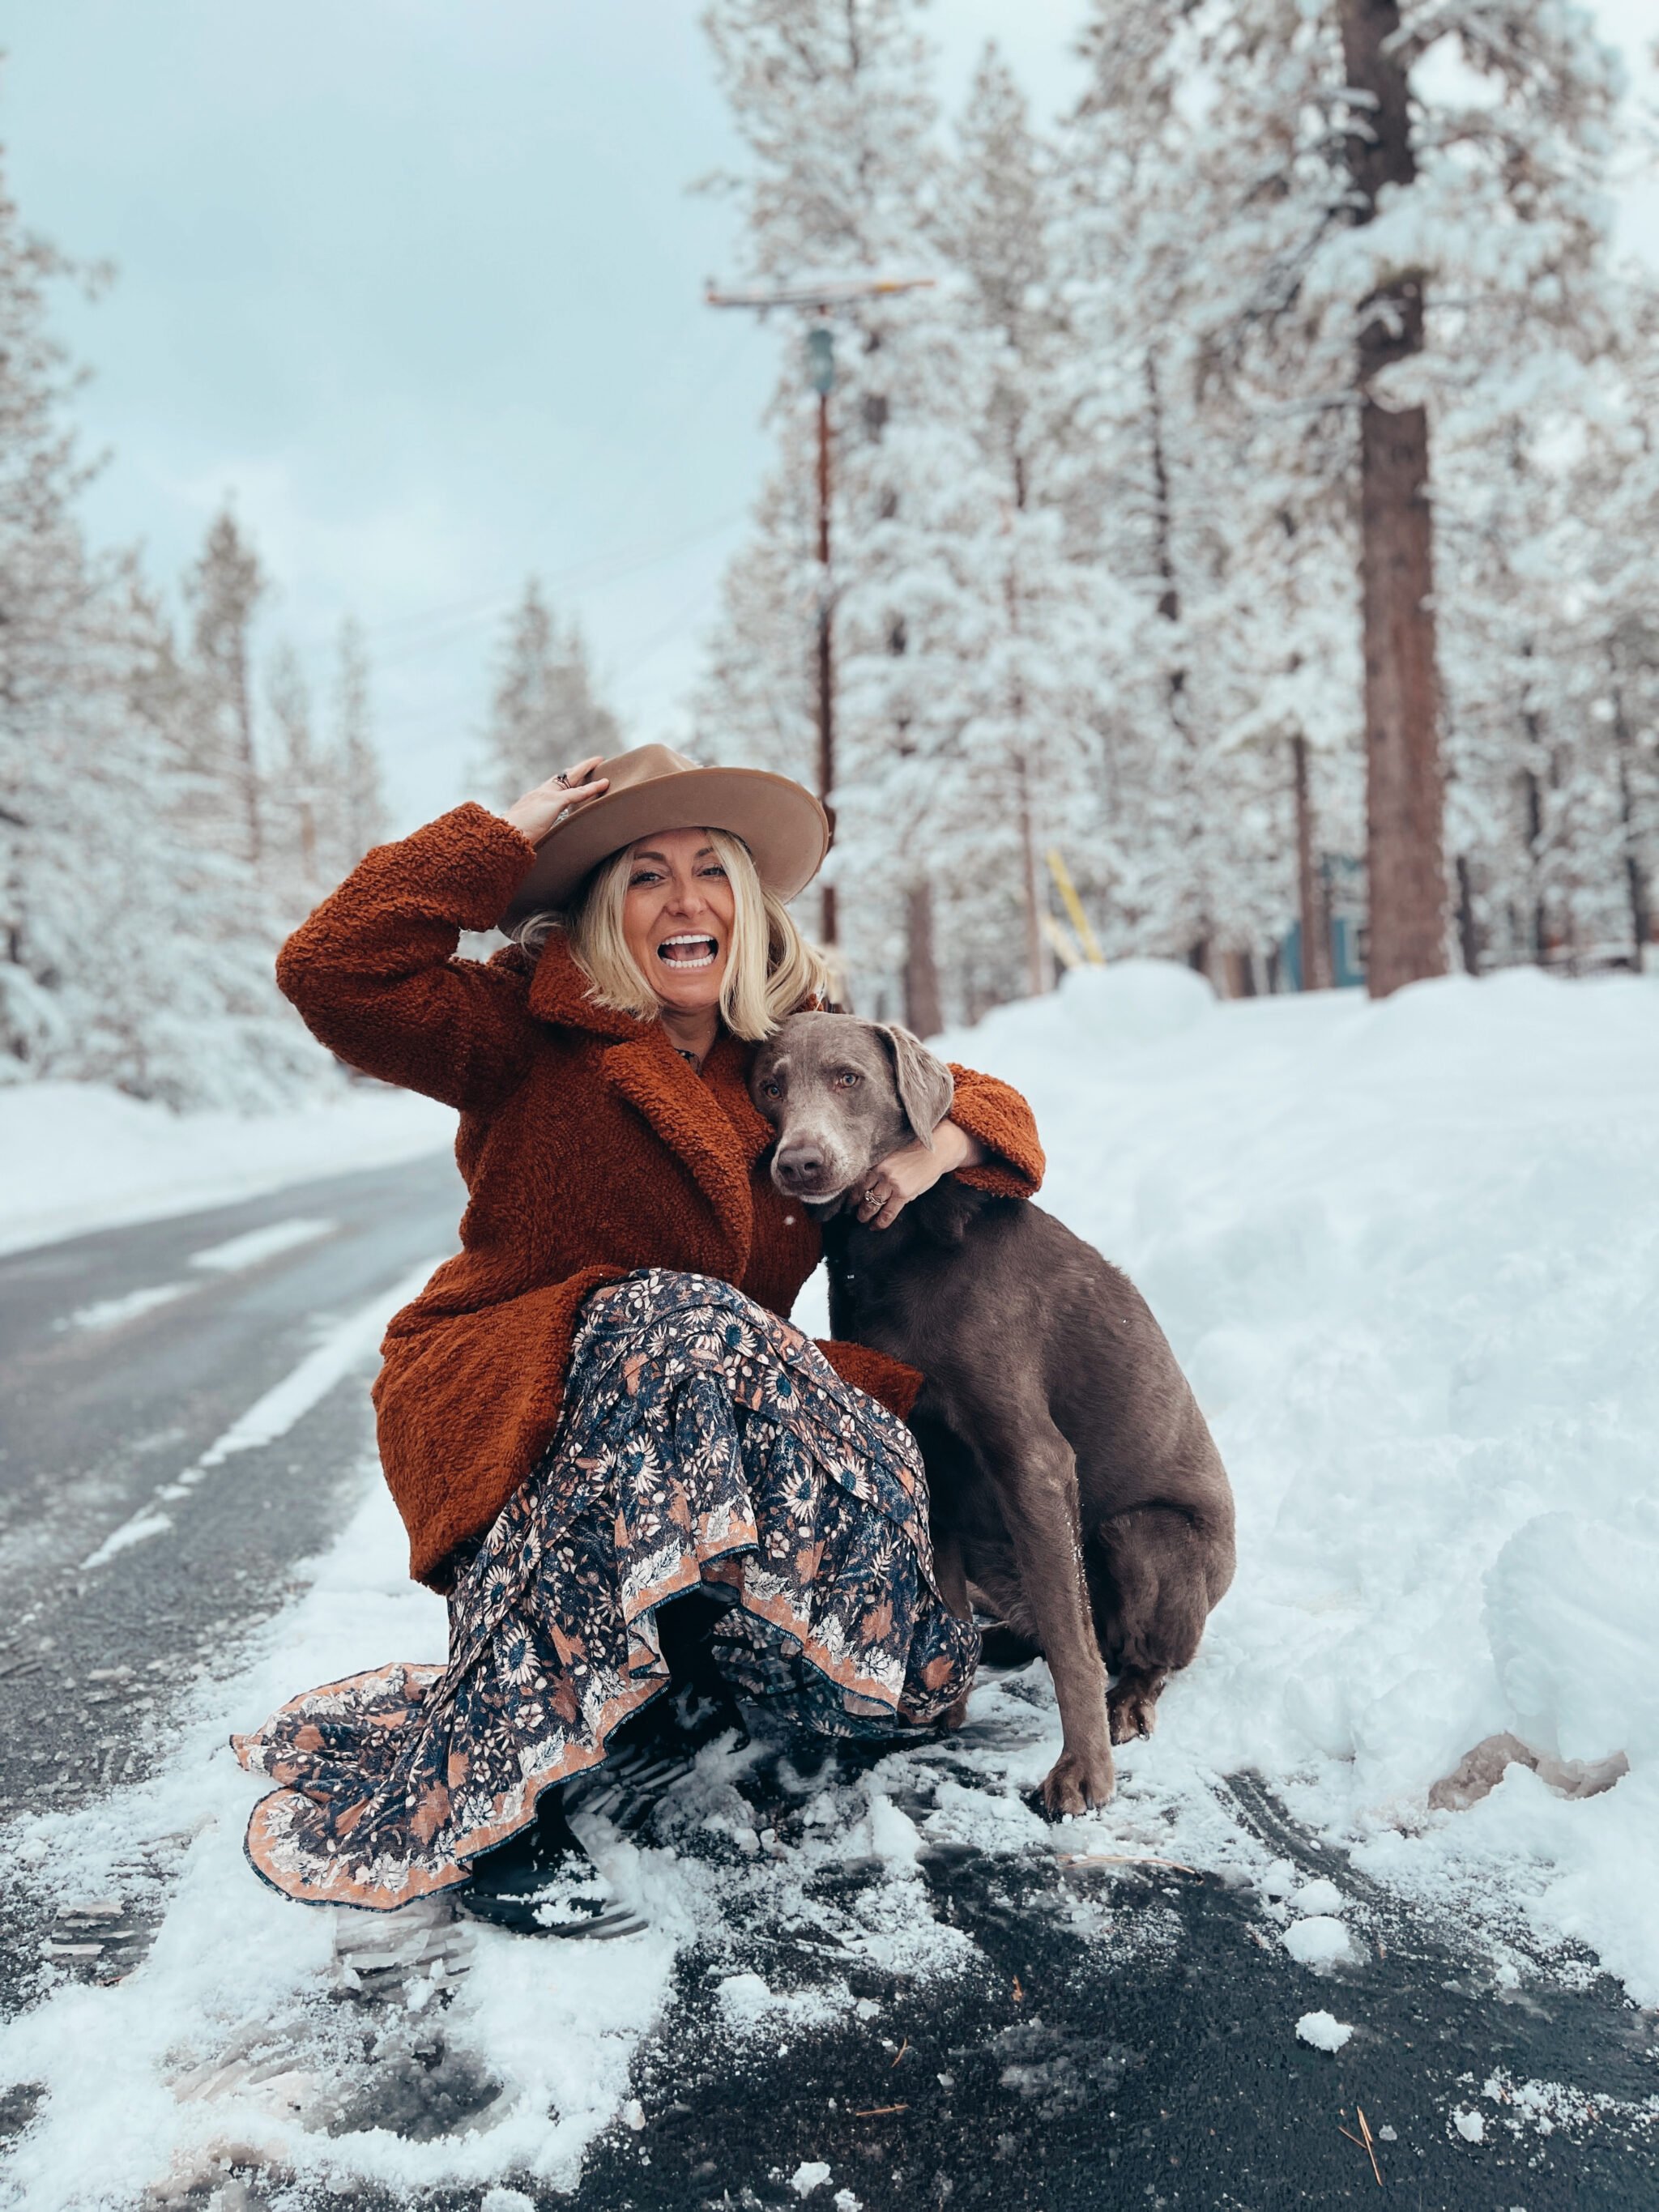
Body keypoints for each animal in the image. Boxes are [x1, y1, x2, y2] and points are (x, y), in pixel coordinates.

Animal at [752, 1012, 1239, 1813]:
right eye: (770, 1086)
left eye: (849, 1078)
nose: (800, 1163)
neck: (895, 1243)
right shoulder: (931, 1455)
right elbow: (951, 1604)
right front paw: (943, 1712)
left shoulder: (1032, 1459)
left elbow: (1074, 1646)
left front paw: (1083, 1773)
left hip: (1144, 1536)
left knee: (1137, 1649)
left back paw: (1127, 1701)